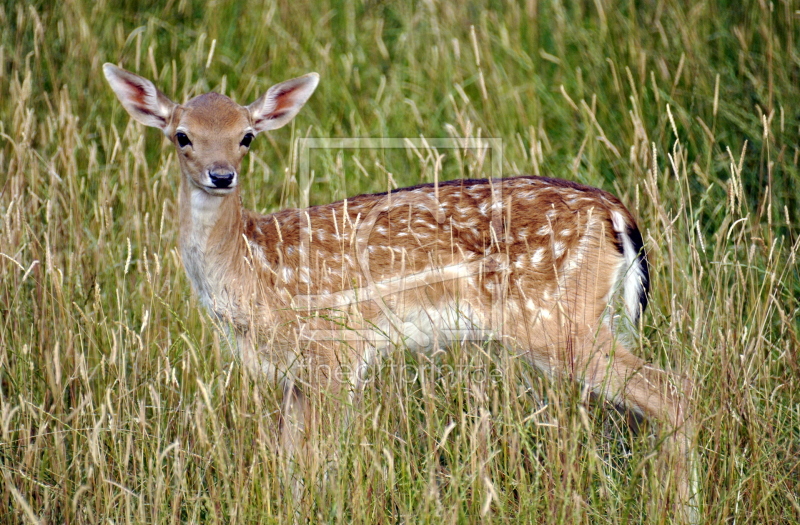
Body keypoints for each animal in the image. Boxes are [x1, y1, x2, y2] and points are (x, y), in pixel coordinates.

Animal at [104, 64, 692, 516]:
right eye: (181, 135)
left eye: (247, 135)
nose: (221, 174)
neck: (252, 270)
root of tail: (618, 214)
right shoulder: (295, 373)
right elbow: (289, 462)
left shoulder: (336, 352)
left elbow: (317, 462)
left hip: (557, 319)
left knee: (673, 392)